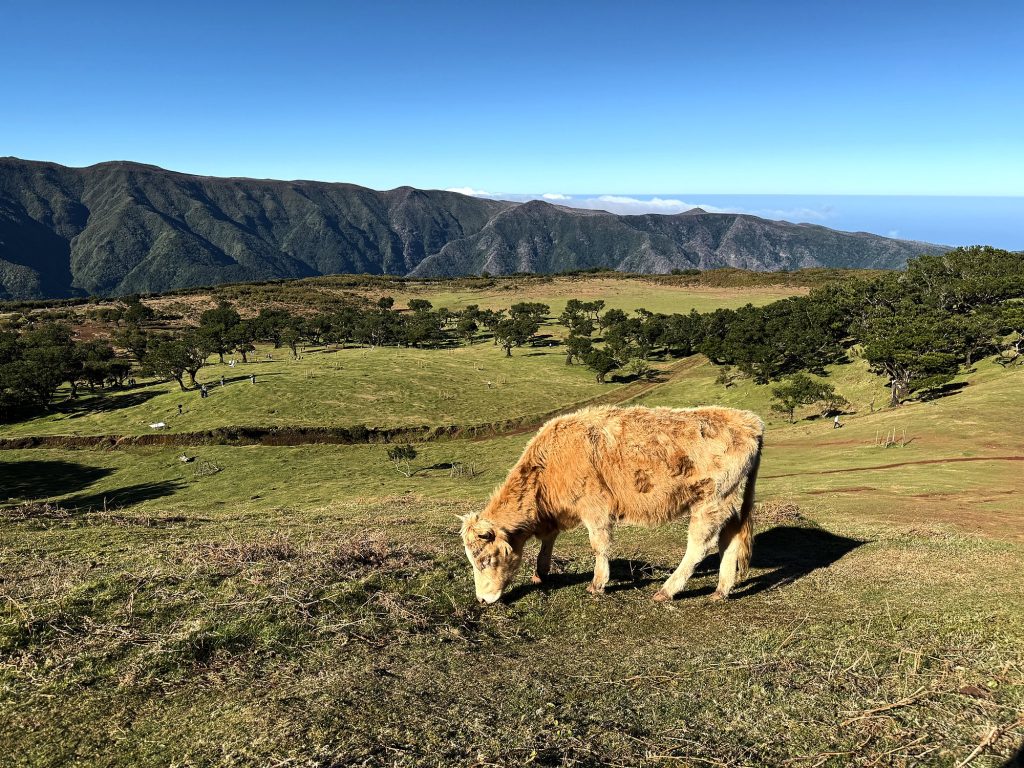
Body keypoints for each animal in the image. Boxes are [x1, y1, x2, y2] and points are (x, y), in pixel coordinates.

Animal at [460, 405, 764, 604]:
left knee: (700, 545)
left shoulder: (595, 508)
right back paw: (720, 591)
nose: (482, 599)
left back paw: (667, 591)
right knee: (730, 541)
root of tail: (747, 420)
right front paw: (540, 574)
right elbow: (548, 540)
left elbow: (599, 545)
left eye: (485, 559)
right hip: (731, 502)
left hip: (711, 501)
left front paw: (597, 584)